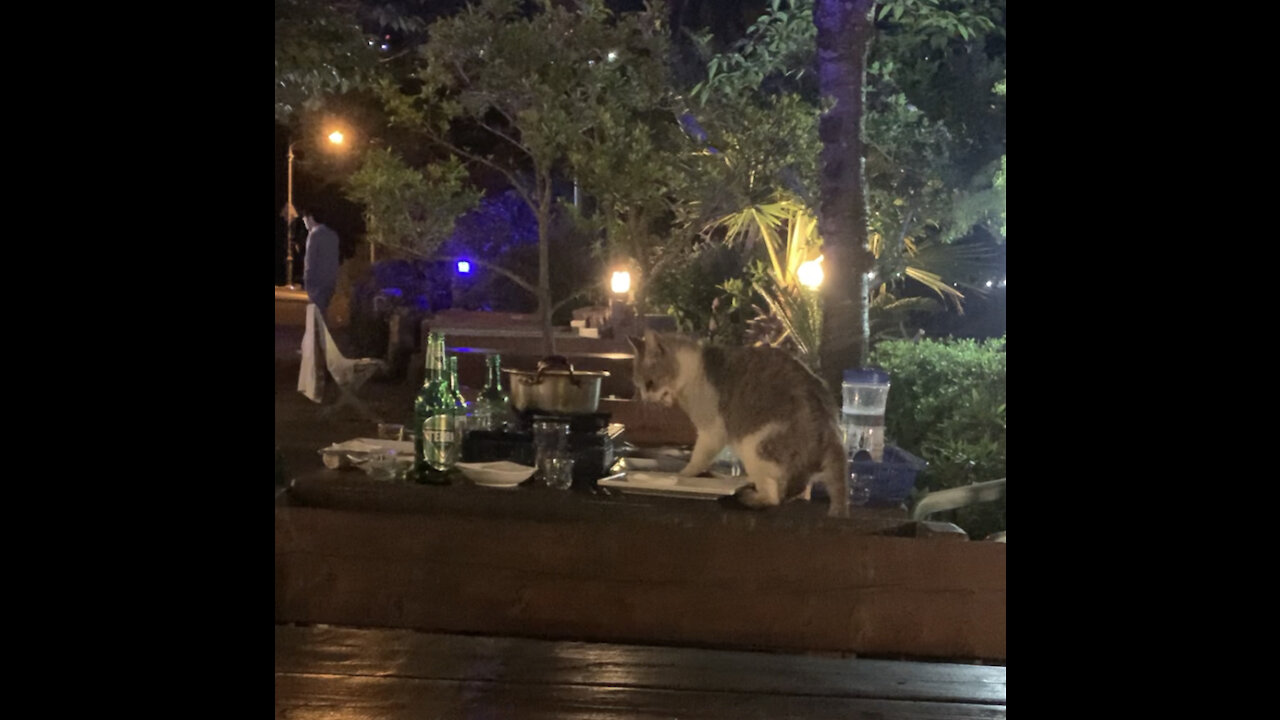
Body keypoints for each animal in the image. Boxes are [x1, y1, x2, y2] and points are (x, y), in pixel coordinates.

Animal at [627, 330, 849, 515]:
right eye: (638, 386)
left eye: (649, 383)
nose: (645, 399)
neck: (695, 370)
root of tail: (831, 429)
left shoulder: (711, 433)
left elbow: (696, 460)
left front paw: (682, 476)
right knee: (796, 490)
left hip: (755, 447)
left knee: (774, 498)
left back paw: (751, 497)